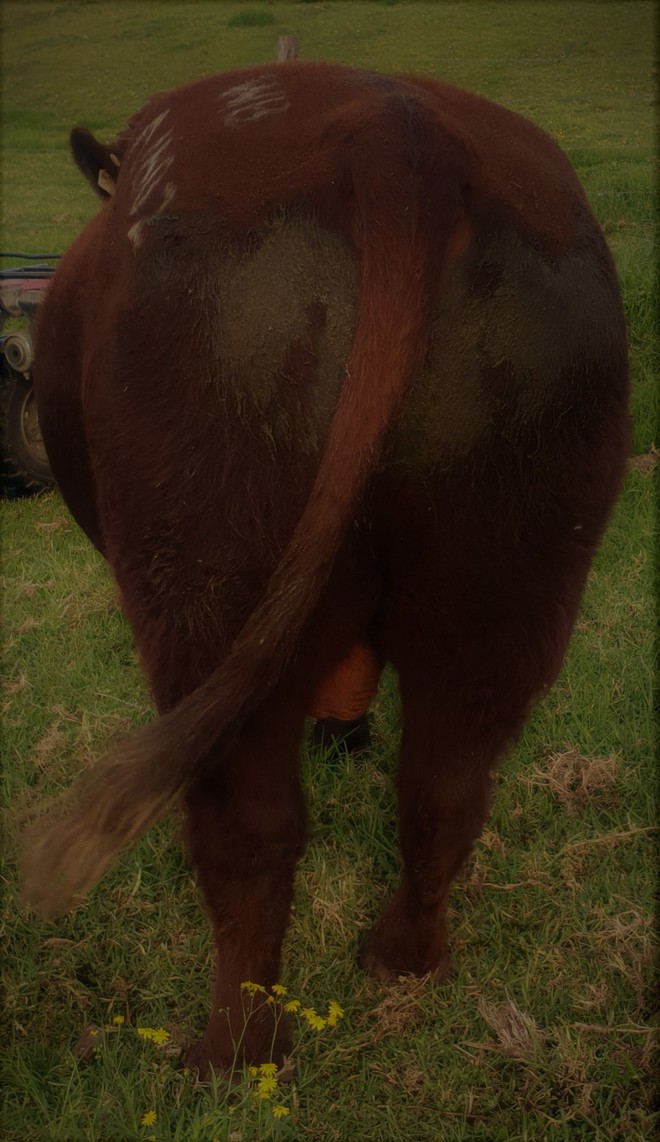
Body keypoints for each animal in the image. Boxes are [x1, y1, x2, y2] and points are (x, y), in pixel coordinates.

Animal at [21, 62, 629, 1077]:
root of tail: (395, 129)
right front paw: (346, 733)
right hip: (507, 572)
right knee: (443, 787)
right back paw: (405, 959)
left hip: (207, 580)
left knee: (251, 823)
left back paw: (229, 1052)